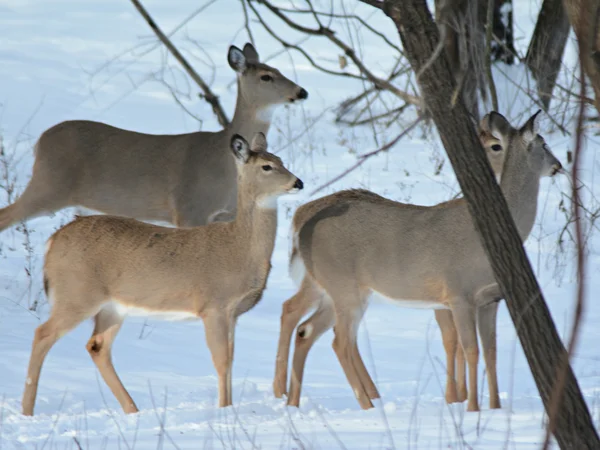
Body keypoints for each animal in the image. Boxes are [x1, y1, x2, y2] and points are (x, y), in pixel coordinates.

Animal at [0, 42, 308, 234]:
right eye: (267, 76)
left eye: (280, 70)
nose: (302, 91)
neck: (223, 157)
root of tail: (40, 141)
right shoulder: (189, 208)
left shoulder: (225, 214)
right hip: (49, 185)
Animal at [21, 132, 302, 416]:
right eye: (266, 166)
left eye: (281, 160)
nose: (298, 182)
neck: (240, 248)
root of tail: (53, 241)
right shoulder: (214, 305)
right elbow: (221, 360)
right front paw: (224, 409)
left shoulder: (233, 313)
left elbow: (231, 359)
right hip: (77, 294)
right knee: (42, 334)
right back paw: (27, 410)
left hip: (112, 307)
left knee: (97, 346)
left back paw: (132, 409)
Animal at [272, 111, 564, 412]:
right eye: (543, 143)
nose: (559, 165)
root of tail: (303, 225)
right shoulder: (459, 293)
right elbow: (470, 348)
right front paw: (471, 407)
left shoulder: (491, 298)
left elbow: (490, 350)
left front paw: (494, 407)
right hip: (343, 287)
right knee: (339, 340)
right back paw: (367, 405)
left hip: (338, 290)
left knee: (307, 329)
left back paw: (298, 400)